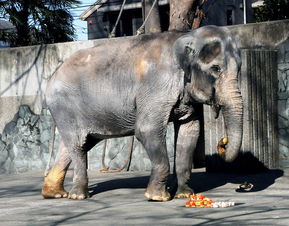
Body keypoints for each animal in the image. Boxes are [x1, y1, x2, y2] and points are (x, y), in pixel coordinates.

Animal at [41, 25, 242, 200]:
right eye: (216, 69)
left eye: (239, 68)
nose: (222, 142)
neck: (185, 35)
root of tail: (53, 75)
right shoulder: (156, 86)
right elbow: (147, 130)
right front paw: (158, 197)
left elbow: (190, 131)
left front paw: (184, 195)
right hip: (64, 107)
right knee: (78, 144)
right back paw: (78, 195)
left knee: (75, 144)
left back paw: (55, 193)